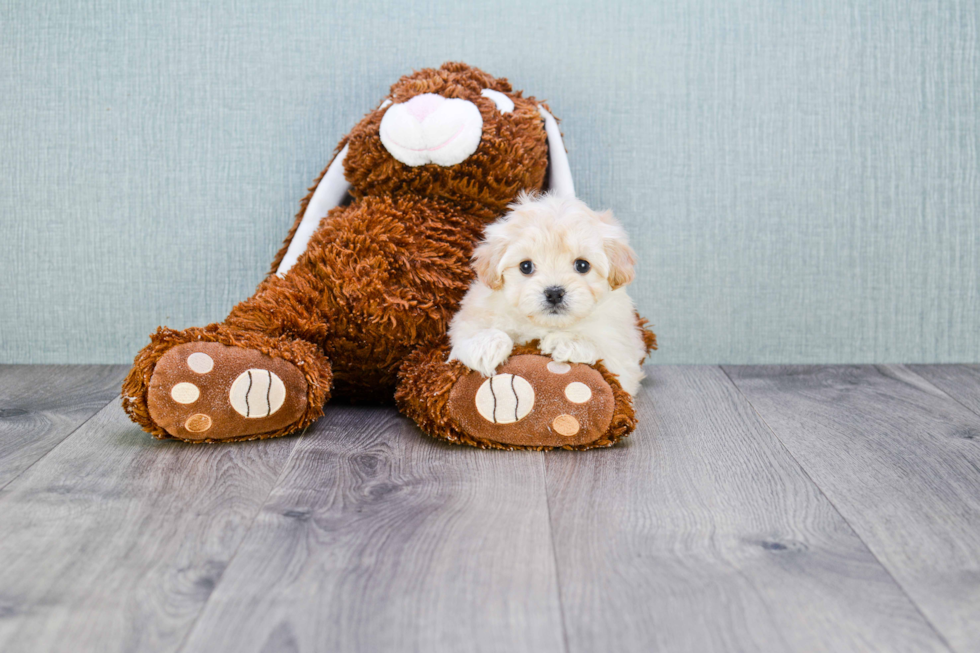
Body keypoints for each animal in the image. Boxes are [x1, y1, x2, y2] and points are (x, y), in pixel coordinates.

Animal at [448, 188, 648, 392]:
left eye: (582, 265)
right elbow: (468, 334)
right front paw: (486, 344)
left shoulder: (621, 352)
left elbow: (602, 351)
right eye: (526, 266)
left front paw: (566, 341)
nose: (554, 293)